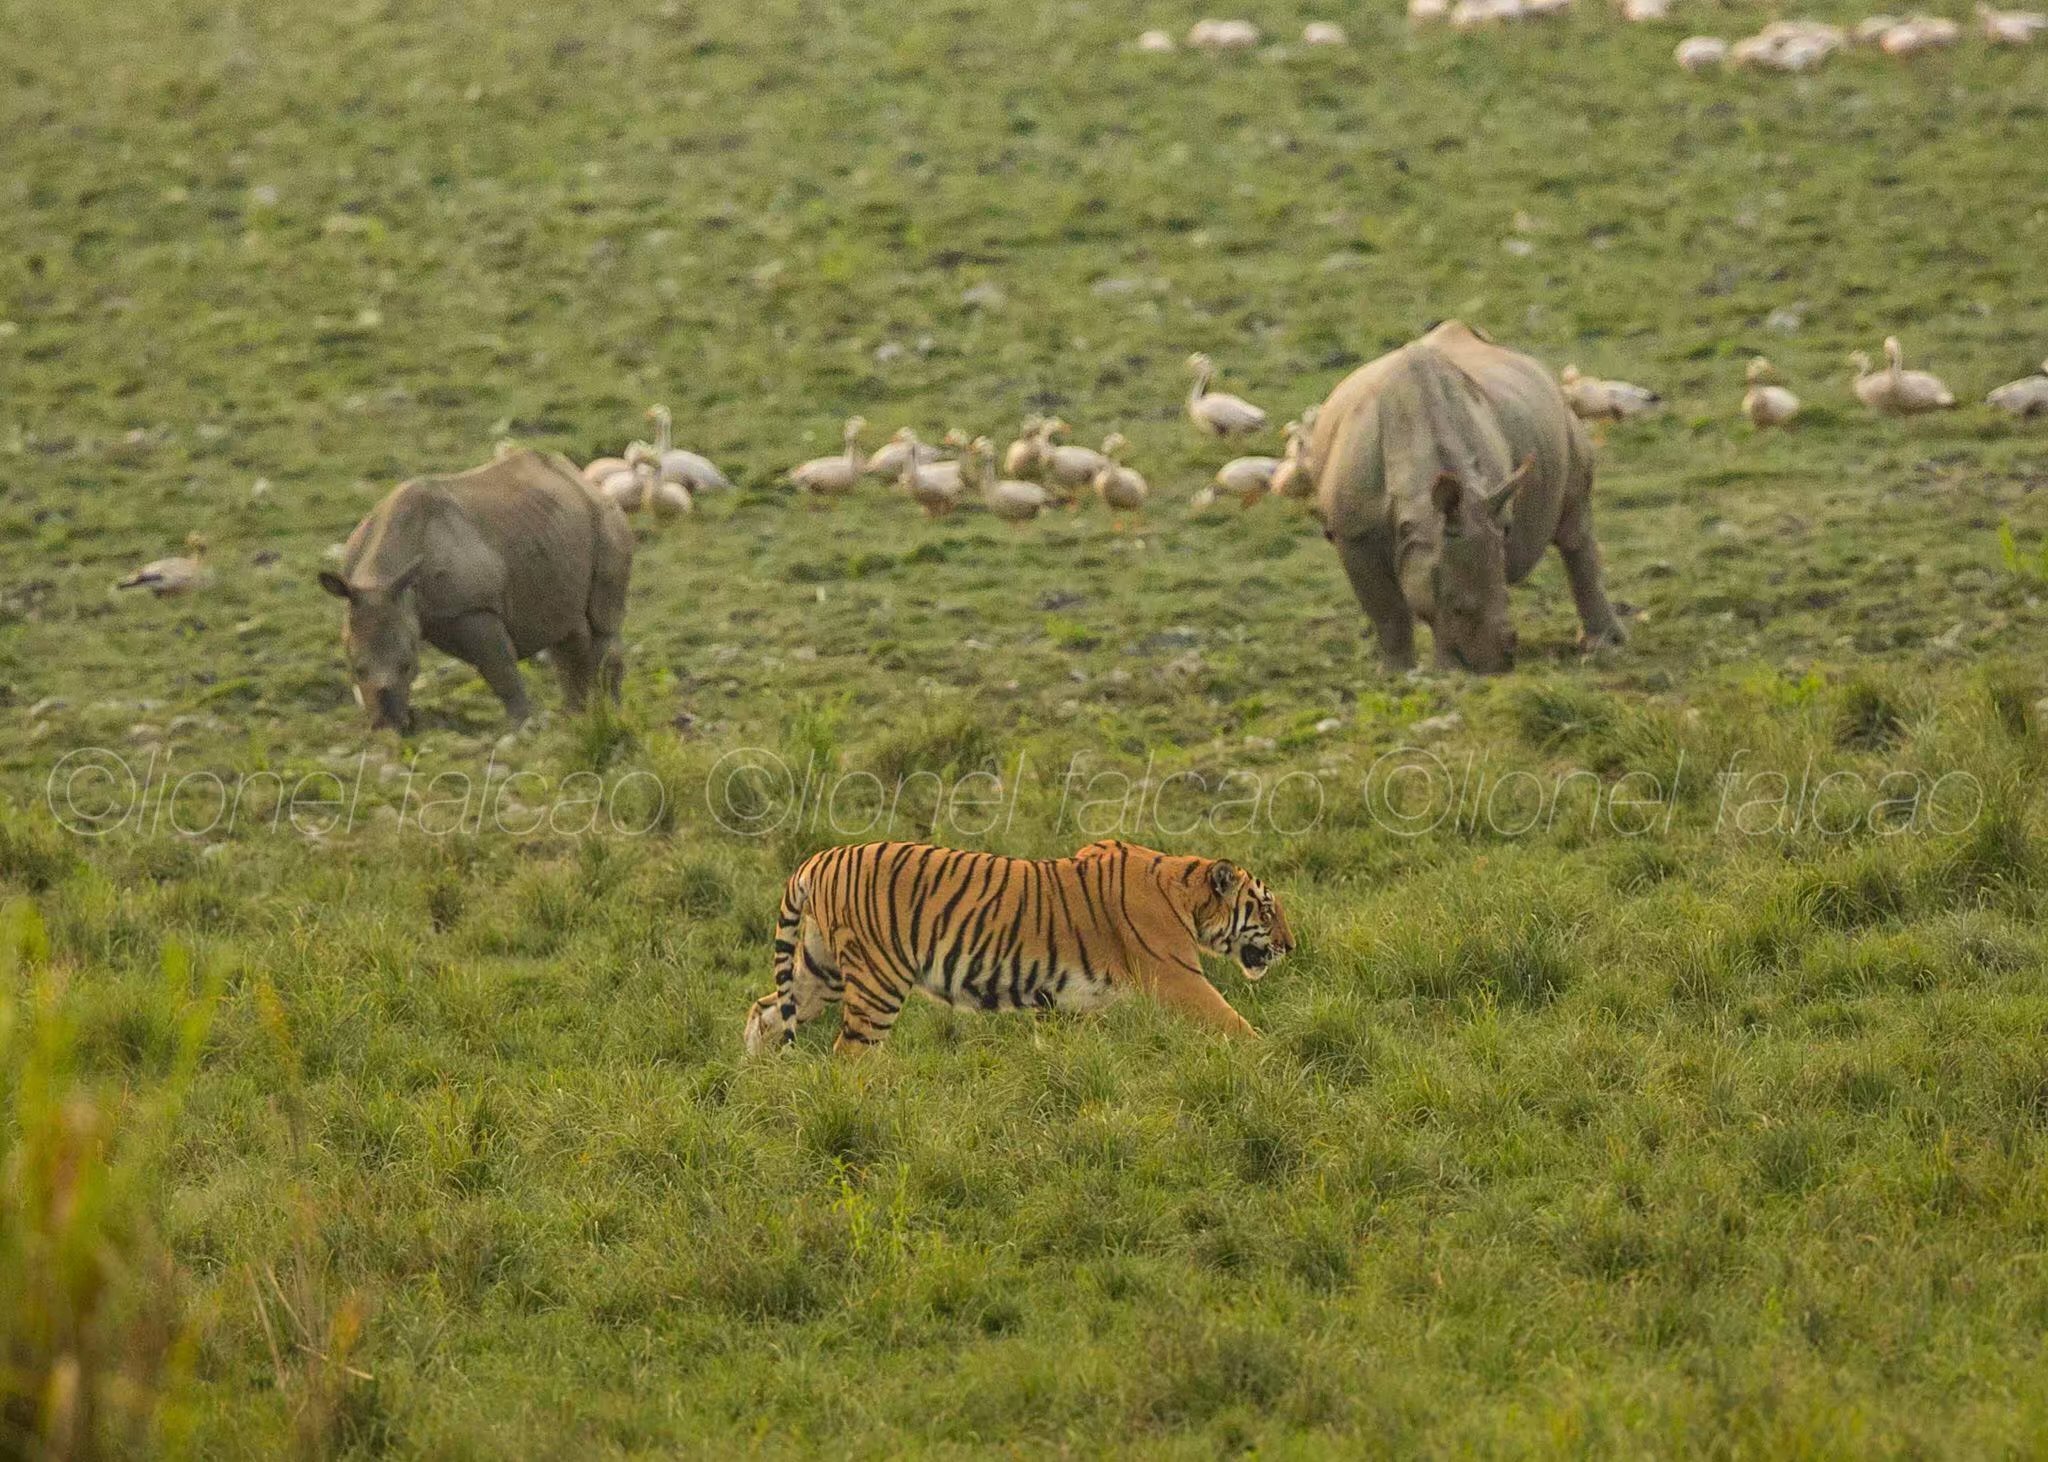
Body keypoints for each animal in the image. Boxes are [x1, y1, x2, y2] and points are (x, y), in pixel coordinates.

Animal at [741, 835, 1294, 1056]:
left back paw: (761, 1083)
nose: (1291, 946)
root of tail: (817, 859)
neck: (1182, 889)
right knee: (852, 1051)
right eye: (1267, 910)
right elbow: (1234, 1024)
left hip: (820, 970)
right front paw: (1274, 1061)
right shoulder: (1180, 978)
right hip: (878, 980)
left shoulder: (1077, 1003)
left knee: (764, 1012)